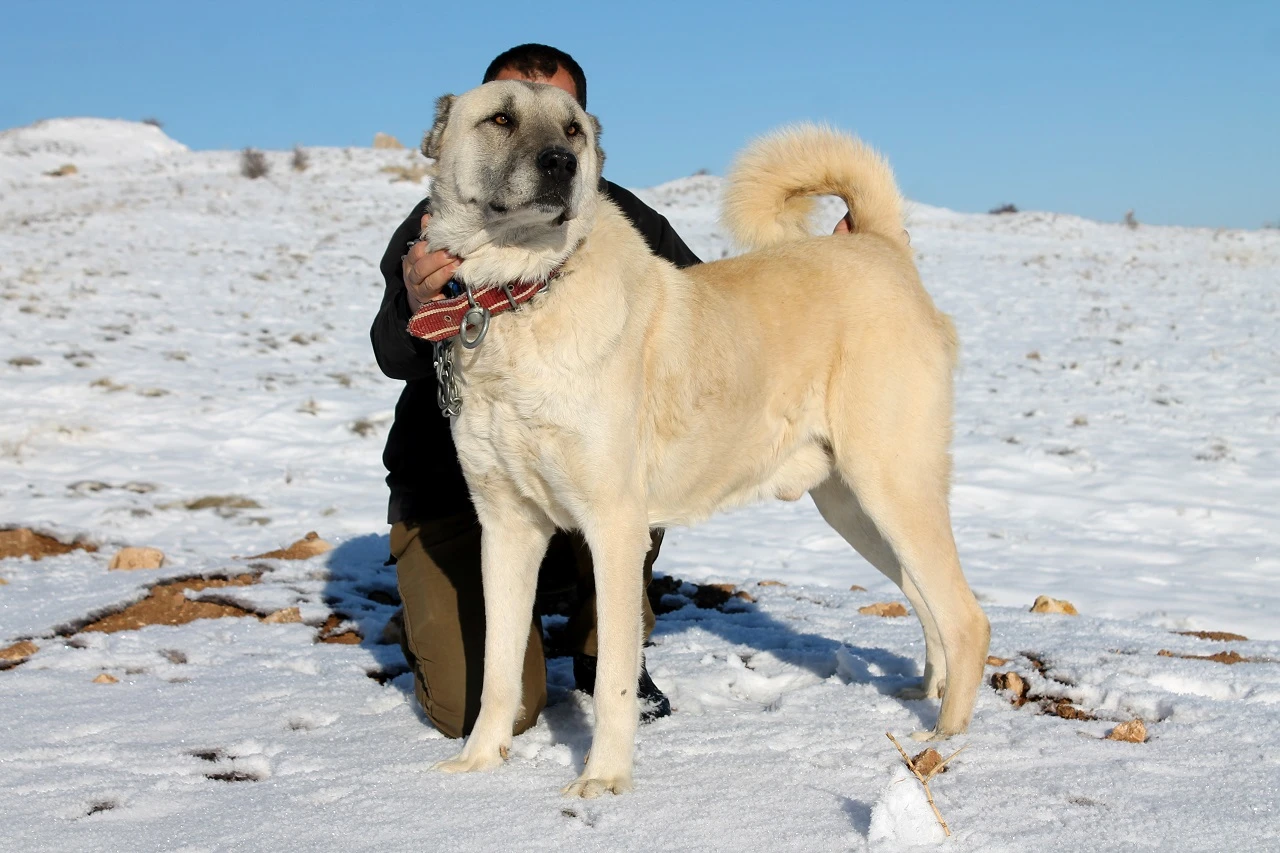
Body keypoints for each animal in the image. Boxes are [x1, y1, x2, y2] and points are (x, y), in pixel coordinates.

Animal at [409, 79, 988, 799]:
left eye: (573, 130)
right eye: (500, 118)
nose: (560, 164)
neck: (520, 296)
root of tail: (882, 247)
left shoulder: (614, 526)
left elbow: (614, 678)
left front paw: (604, 780)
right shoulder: (507, 527)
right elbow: (495, 669)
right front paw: (479, 765)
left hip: (892, 483)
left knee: (966, 616)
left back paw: (944, 739)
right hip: (856, 507)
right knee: (927, 598)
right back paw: (927, 694)